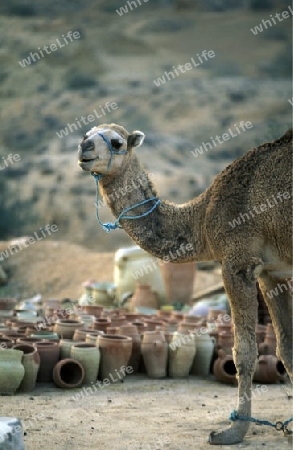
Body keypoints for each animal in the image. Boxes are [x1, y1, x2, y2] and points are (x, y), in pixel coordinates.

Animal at [77, 125, 292, 444]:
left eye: (116, 142)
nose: (85, 148)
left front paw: (232, 431)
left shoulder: (237, 262)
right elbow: (286, 348)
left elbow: (244, 352)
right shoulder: (272, 273)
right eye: (86, 134)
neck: (201, 218)